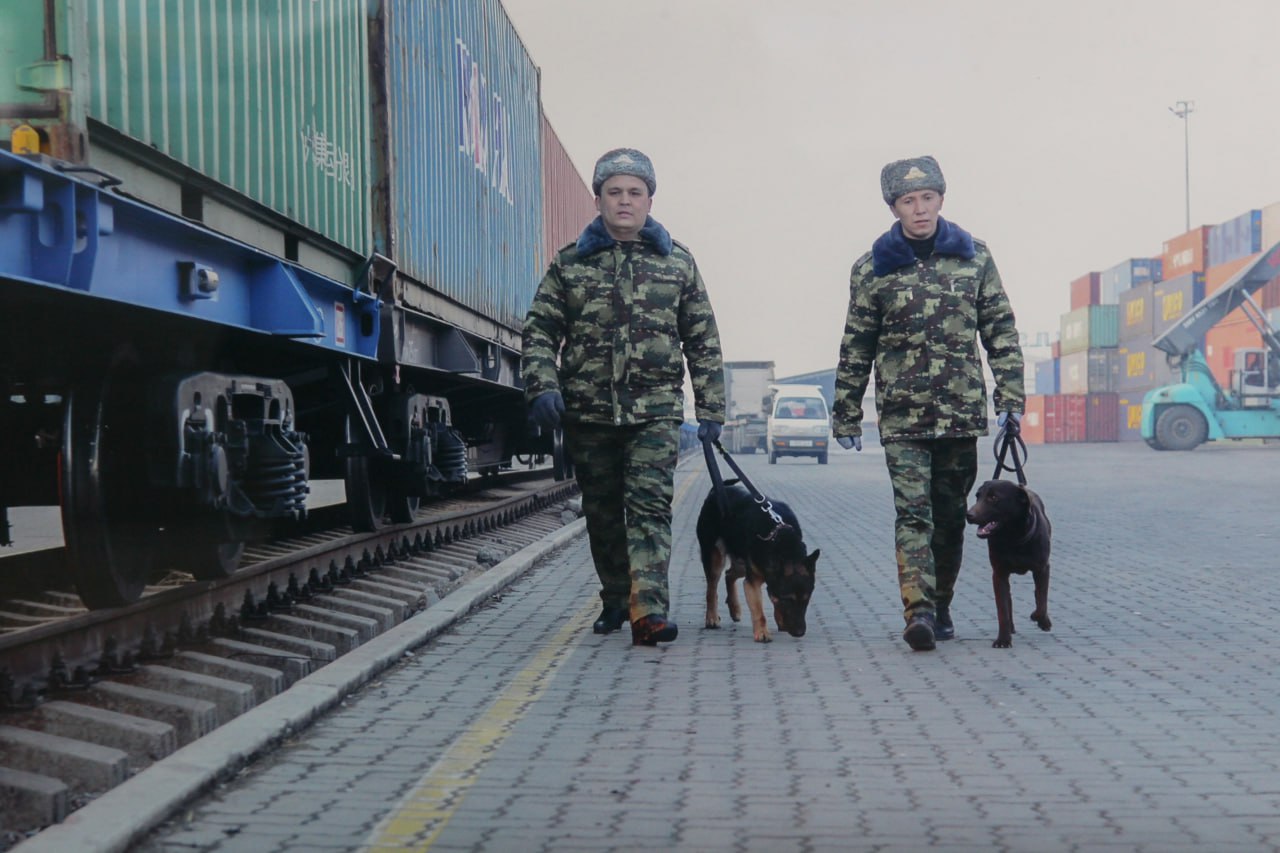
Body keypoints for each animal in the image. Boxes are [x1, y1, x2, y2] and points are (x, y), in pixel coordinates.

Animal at [701, 481, 819, 640]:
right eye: (787, 600)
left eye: (806, 599)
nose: (800, 633)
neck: (780, 539)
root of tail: (715, 491)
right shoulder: (753, 583)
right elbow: (759, 611)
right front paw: (762, 633)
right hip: (716, 559)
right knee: (711, 589)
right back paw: (712, 618)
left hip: (742, 563)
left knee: (729, 574)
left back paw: (734, 608)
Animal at [967, 479, 1049, 645]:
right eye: (978, 496)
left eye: (993, 498)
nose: (968, 515)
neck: (1013, 539)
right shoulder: (999, 574)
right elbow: (1003, 610)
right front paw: (1003, 640)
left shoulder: (1043, 568)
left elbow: (1042, 600)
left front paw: (1040, 618)